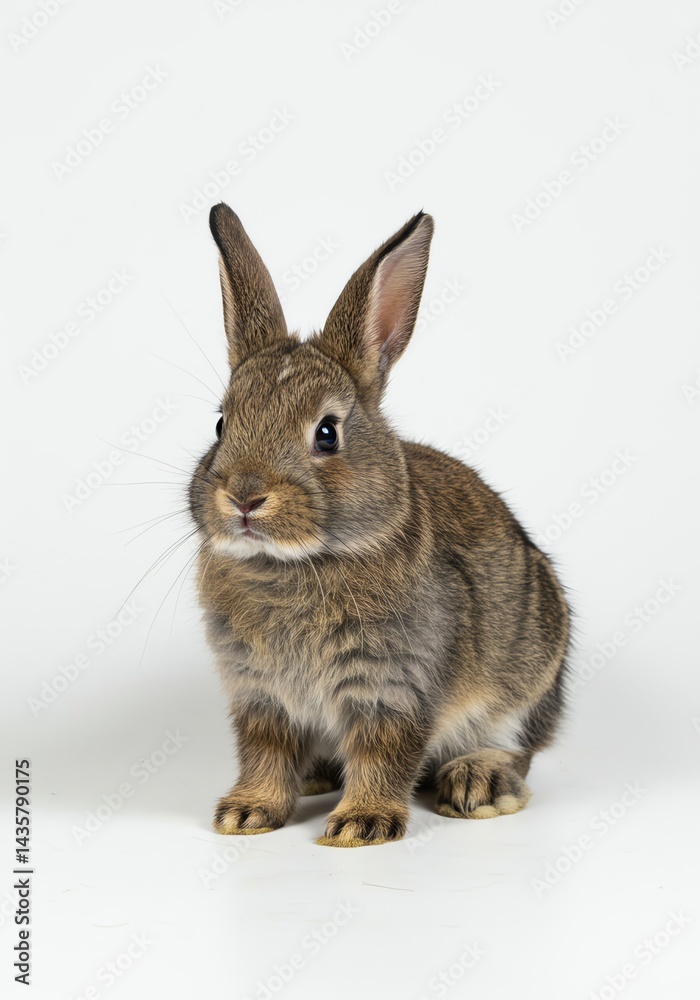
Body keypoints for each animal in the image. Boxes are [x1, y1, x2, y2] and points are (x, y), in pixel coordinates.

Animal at [189, 202, 570, 848]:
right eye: (221, 424)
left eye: (326, 433)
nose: (243, 497)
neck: (293, 563)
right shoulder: (259, 692)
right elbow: (265, 752)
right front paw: (246, 814)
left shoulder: (392, 683)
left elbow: (383, 751)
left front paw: (359, 825)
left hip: (526, 680)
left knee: (518, 748)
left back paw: (478, 783)